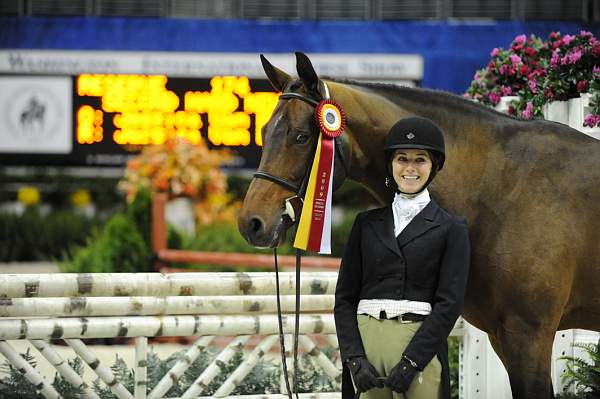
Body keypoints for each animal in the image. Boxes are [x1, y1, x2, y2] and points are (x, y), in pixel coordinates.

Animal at [237, 53, 596, 399]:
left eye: (301, 137)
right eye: (265, 131)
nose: (251, 223)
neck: (501, 185)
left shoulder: (529, 335)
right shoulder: (504, 337)